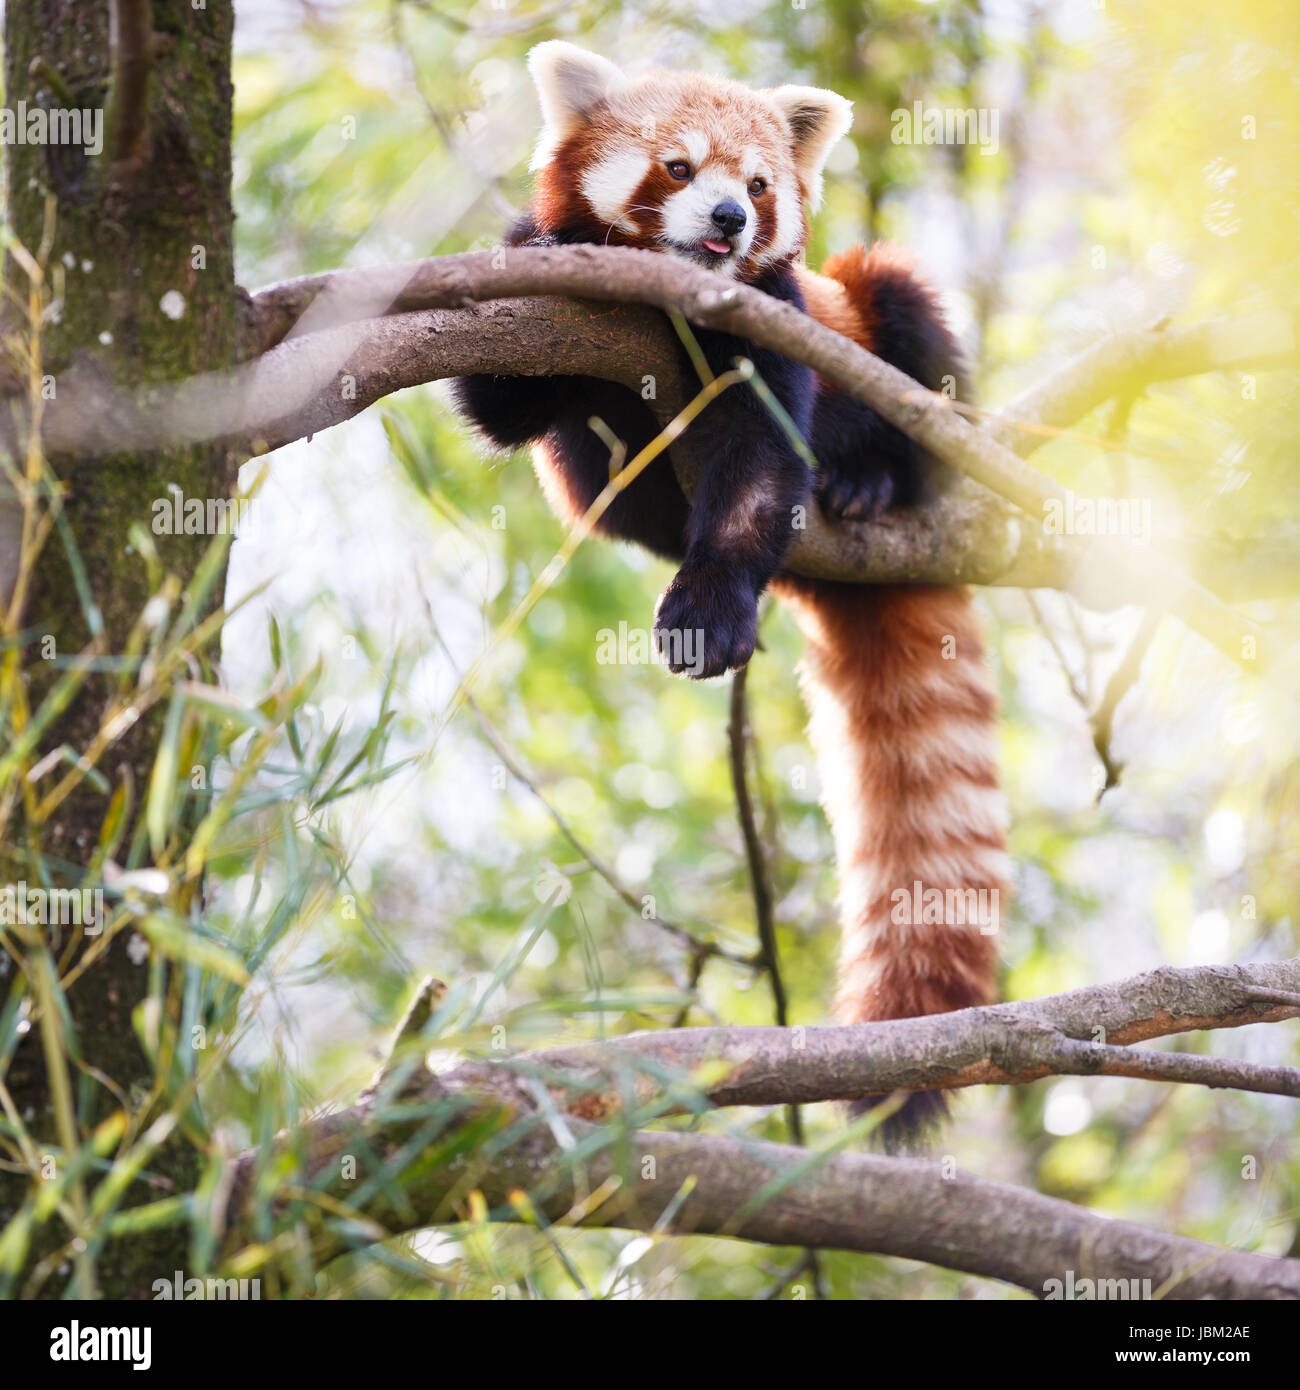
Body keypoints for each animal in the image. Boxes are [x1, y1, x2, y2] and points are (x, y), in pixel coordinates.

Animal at [453, 43, 1012, 1150]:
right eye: (677, 168)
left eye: (757, 186)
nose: (726, 220)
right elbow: (502, 401)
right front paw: (537, 237)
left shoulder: (777, 327)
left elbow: (759, 464)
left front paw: (708, 610)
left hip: (884, 328)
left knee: (901, 306)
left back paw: (871, 483)